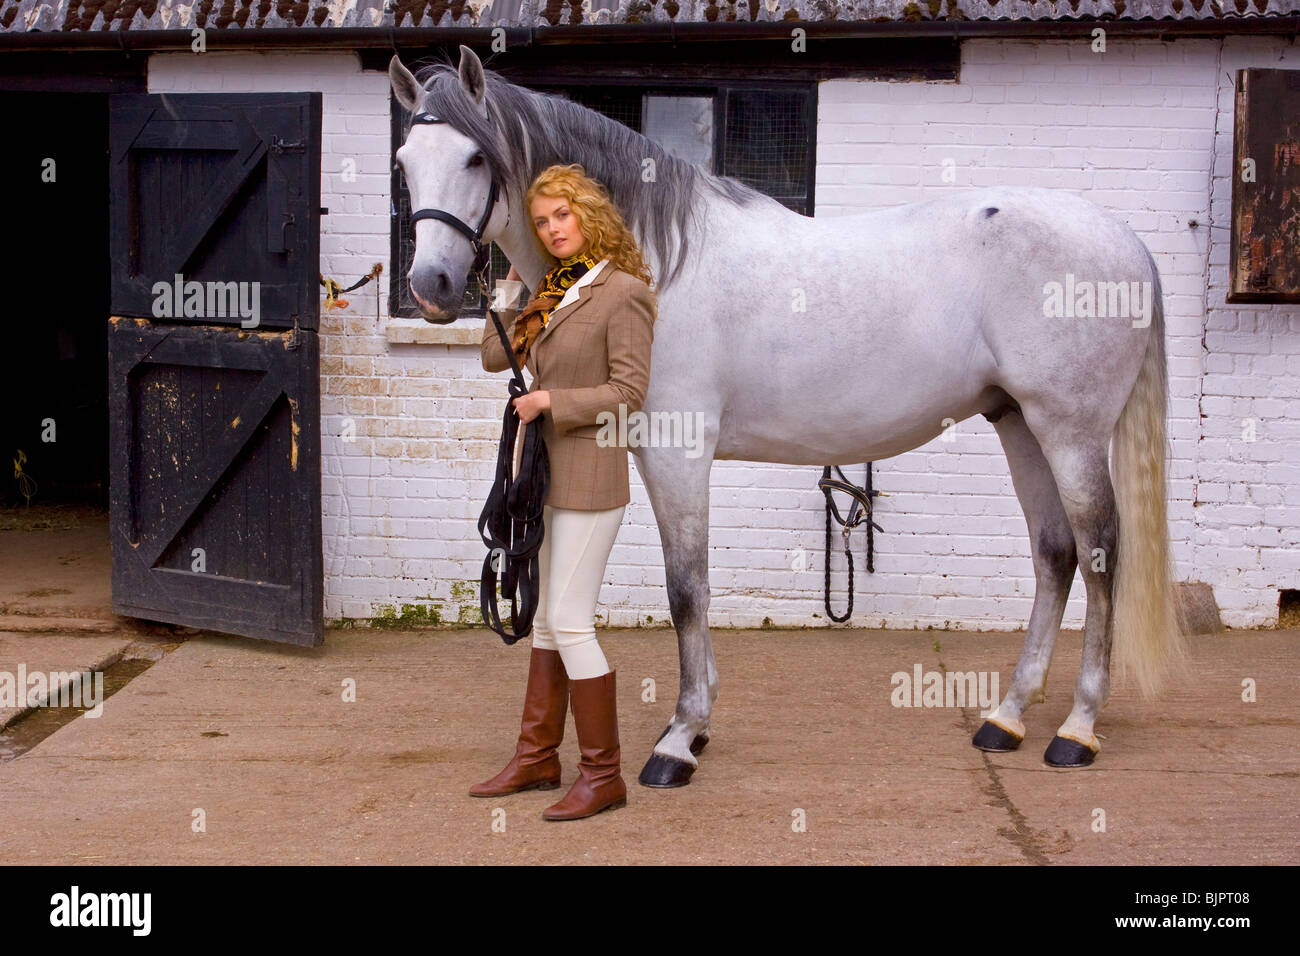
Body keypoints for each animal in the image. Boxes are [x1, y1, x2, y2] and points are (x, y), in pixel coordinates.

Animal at [387, 46, 1190, 785]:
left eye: (475, 157)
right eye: (403, 161)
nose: (431, 286)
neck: (654, 263)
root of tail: (1126, 242)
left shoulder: (680, 452)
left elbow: (687, 590)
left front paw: (680, 739)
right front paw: (694, 726)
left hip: (1070, 431)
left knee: (1099, 552)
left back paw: (1077, 730)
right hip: (1019, 421)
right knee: (1054, 553)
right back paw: (1007, 717)